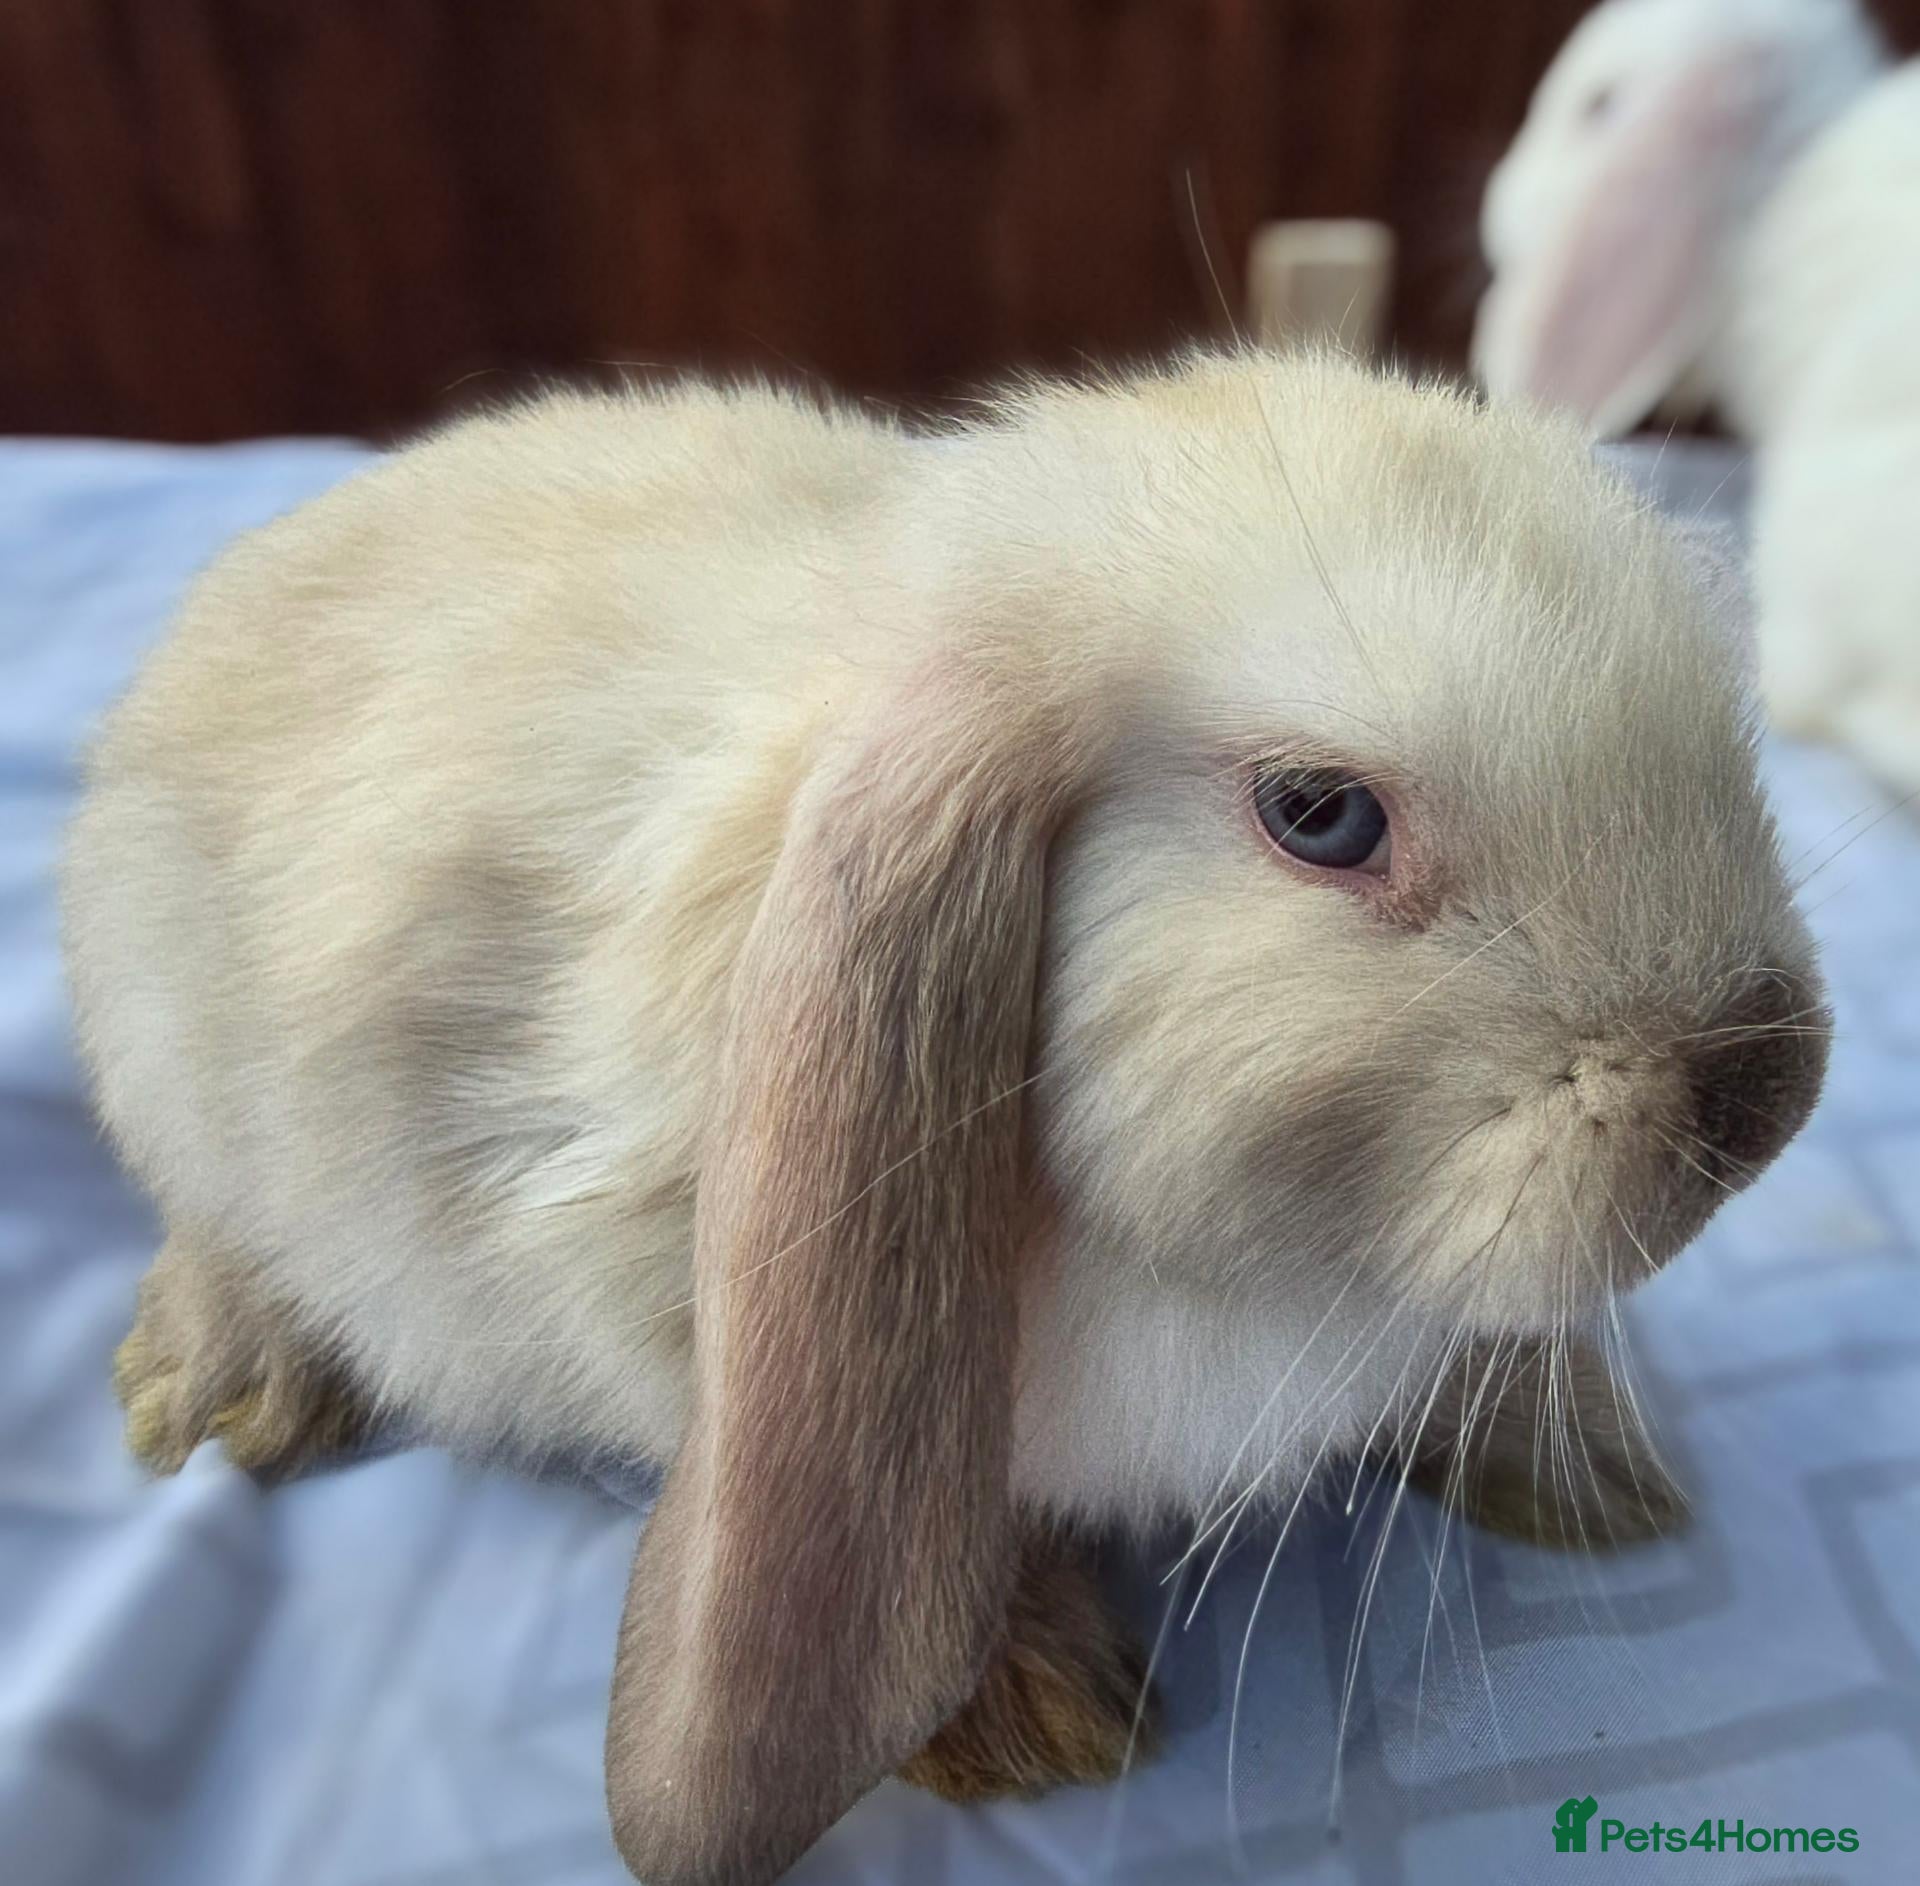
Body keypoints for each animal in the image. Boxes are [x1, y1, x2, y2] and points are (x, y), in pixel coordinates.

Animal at [63, 351, 1829, 1886]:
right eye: (1321, 815)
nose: (1767, 1088)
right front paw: (1030, 1713)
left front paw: (1590, 1467)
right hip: (168, 1064)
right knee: (213, 1223)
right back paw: (224, 1390)